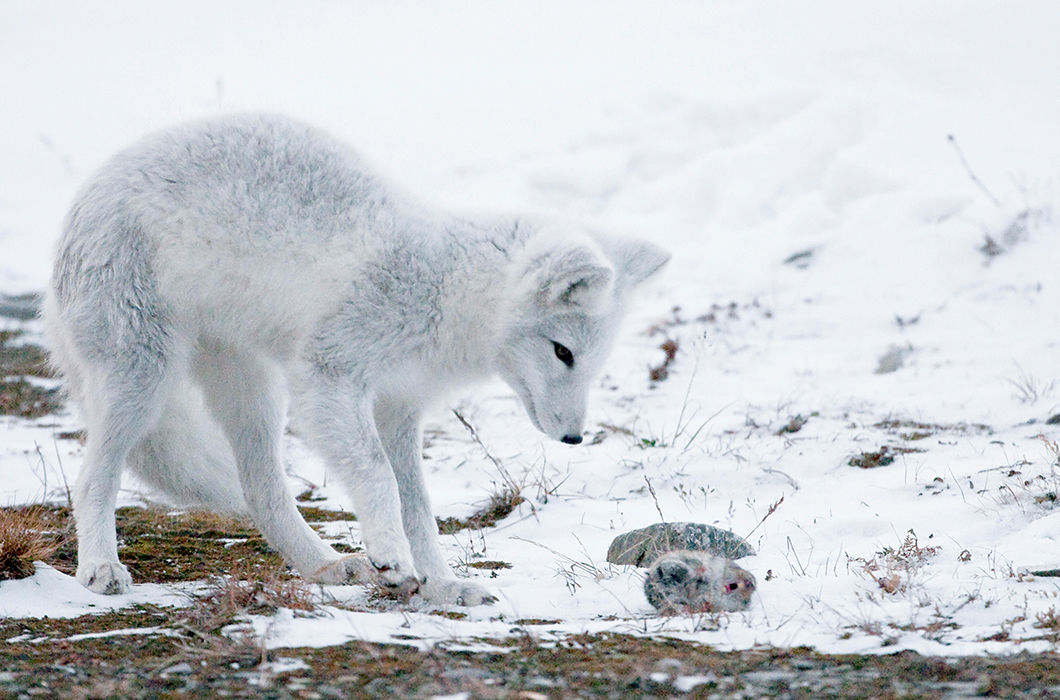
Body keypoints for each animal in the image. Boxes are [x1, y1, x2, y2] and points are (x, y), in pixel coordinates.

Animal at [45, 111, 669, 602]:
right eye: (562, 352)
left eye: (590, 362)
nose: (574, 438)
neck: (446, 290)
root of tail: (84, 195)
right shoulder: (330, 376)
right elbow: (377, 477)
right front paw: (391, 555)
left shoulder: (399, 408)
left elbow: (419, 507)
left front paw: (441, 585)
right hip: (143, 379)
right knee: (91, 476)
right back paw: (100, 568)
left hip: (254, 394)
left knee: (260, 490)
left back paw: (325, 566)